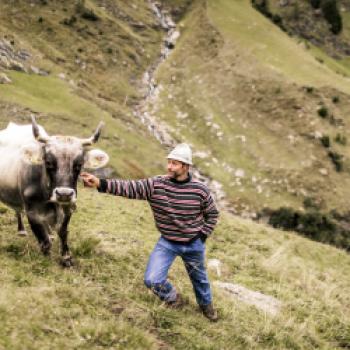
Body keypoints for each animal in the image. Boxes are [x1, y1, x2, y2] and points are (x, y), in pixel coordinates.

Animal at [0, 116, 108, 266]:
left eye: (79, 164)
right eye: (48, 162)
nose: (64, 194)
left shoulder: (69, 207)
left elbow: (63, 231)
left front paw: (66, 257)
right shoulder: (32, 212)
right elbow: (44, 242)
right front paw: (46, 259)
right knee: (18, 211)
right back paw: (22, 230)